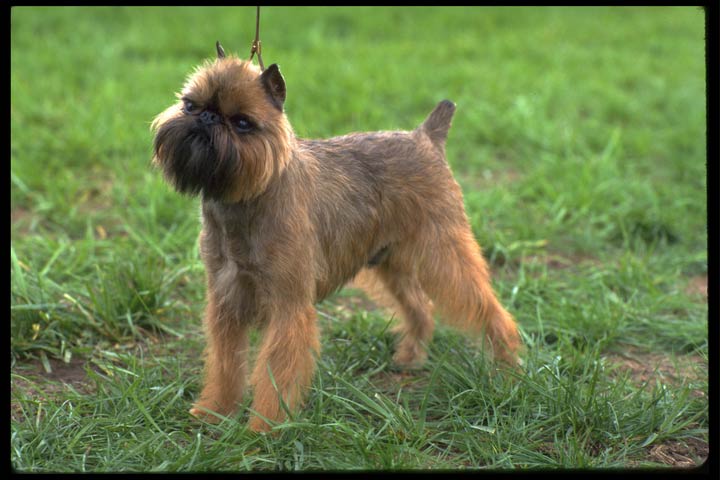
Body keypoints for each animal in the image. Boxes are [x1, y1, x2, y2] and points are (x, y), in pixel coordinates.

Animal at [150, 44, 516, 432]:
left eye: (242, 123)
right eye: (191, 105)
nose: (207, 118)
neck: (247, 198)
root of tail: (425, 136)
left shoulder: (289, 308)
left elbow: (277, 371)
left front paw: (265, 429)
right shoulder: (226, 302)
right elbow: (225, 364)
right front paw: (215, 412)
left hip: (443, 251)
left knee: (486, 307)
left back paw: (506, 367)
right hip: (389, 261)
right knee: (420, 306)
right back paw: (411, 357)